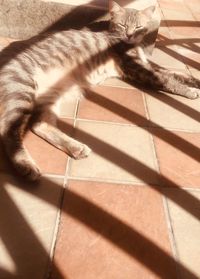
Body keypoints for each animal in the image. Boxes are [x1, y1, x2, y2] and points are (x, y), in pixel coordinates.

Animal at [0, 0, 199, 182]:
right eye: (123, 25)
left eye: (139, 27)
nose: (129, 36)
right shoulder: (137, 68)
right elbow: (166, 80)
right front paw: (188, 90)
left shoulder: (146, 65)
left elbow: (173, 72)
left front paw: (193, 80)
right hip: (21, 90)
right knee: (9, 132)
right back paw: (25, 165)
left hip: (50, 97)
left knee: (39, 125)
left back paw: (76, 147)